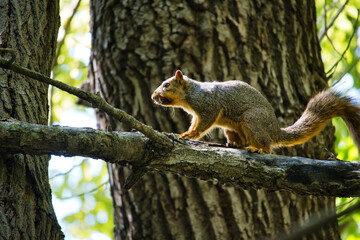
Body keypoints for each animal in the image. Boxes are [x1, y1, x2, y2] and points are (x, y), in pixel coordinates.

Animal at [151, 69, 360, 154]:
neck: (192, 93)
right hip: (235, 128)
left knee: (267, 147)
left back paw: (257, 148)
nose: (153, 96)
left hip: (252, 120)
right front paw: (187, 132)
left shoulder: (209, 106)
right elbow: (196, 122)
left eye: (166, 85)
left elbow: (202, 125)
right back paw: (236, 143)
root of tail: (274, 131)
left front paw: (188, 135)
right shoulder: (197, 113)